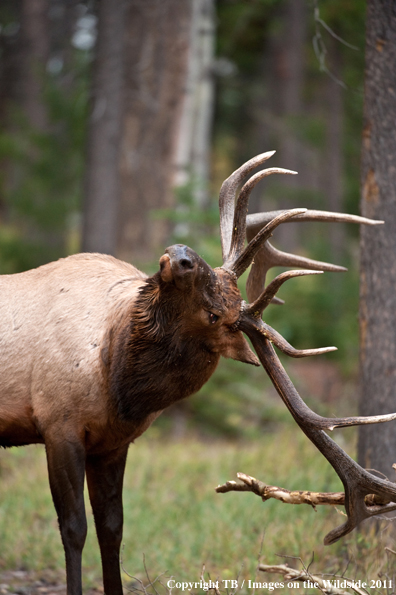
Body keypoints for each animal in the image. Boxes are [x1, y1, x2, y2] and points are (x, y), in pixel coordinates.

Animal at [0, 151, 396, 592]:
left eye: (214, 316)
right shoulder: (58, 423)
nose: (182, 254)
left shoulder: (108, 442)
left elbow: (111, 528)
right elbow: (74, 529)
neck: (114, 376)